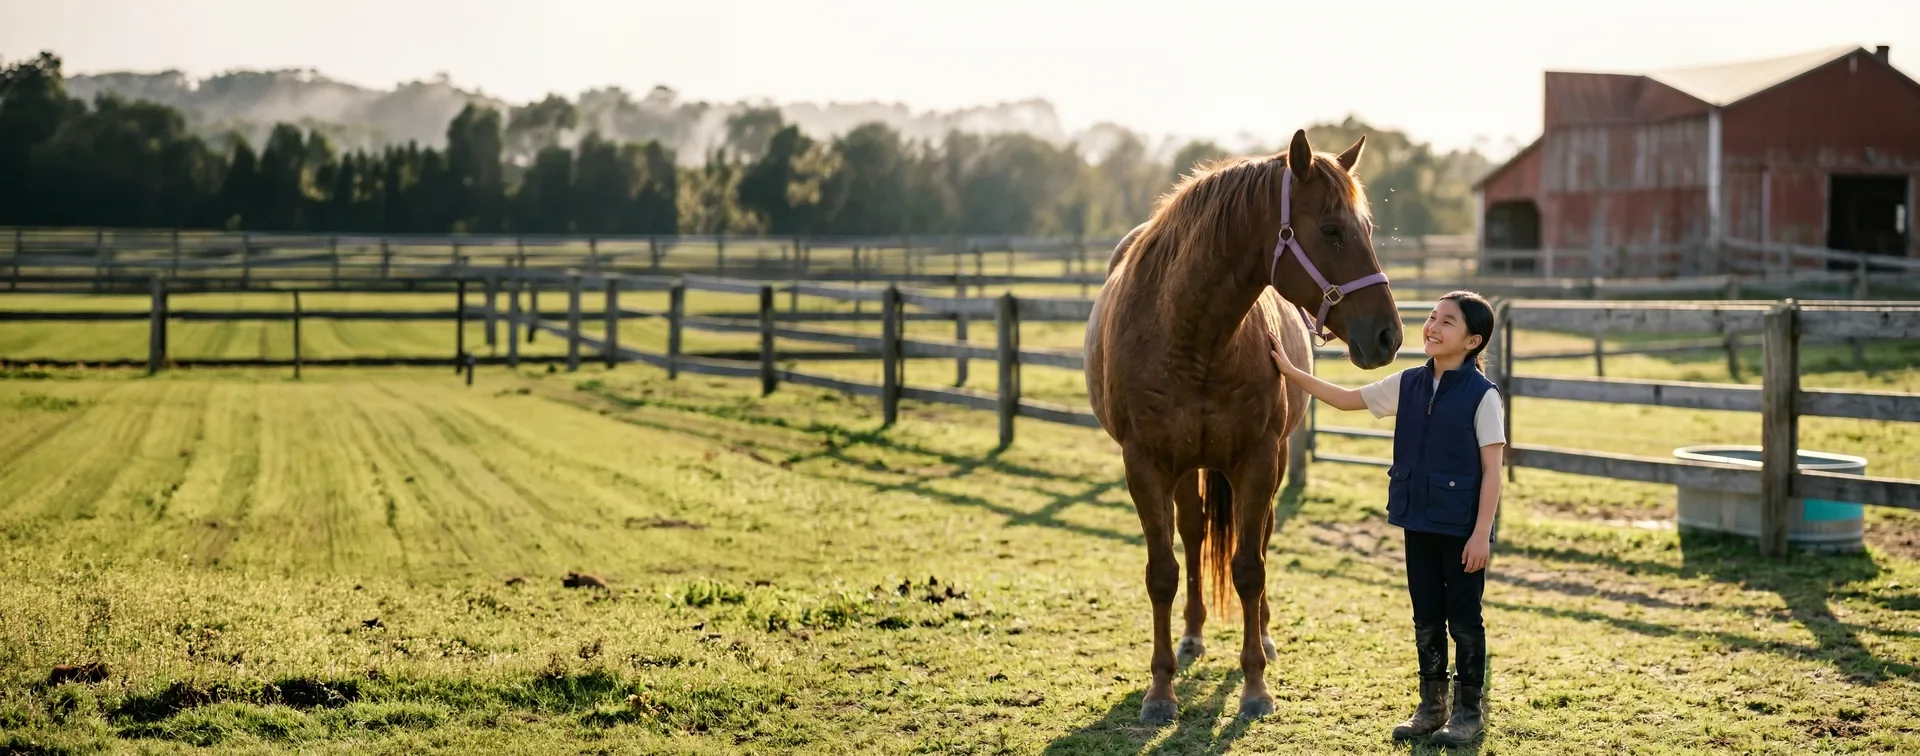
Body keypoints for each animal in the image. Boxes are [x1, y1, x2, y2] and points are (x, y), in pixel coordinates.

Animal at [1083, 128, 1402, 723]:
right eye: (1331, 230)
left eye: (1367, 229)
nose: (1388, 335)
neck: (1192, 337)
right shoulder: (1145, 465)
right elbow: (1161, 572)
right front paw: (1160, 692)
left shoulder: (1256, 460)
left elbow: (1249, 568)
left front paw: (1255, 686)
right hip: (1187, 468)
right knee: (1193, 532)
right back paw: (1191, 635)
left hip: (1269, 462)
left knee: (1259, 539)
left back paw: (1266, 636)